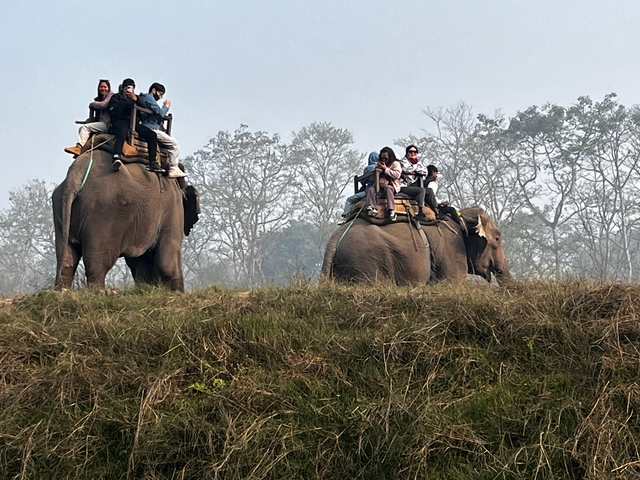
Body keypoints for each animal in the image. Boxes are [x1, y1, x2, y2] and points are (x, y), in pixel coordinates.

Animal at [53, 148, 198, 291]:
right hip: (104, 213)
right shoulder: (173, 208)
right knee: (98, 259)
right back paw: (102, 292)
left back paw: (62, 291)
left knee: (66, 254)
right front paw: (178, 293)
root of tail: (75, 175)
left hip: (60, 205)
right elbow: (167, 260)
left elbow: (140, 262)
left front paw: (145, 289)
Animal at [321, 207, 511, 286]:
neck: (461, 216)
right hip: (366, 262)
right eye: (497, 239)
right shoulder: (450, 248)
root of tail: (334, 239)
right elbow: (453, 284)